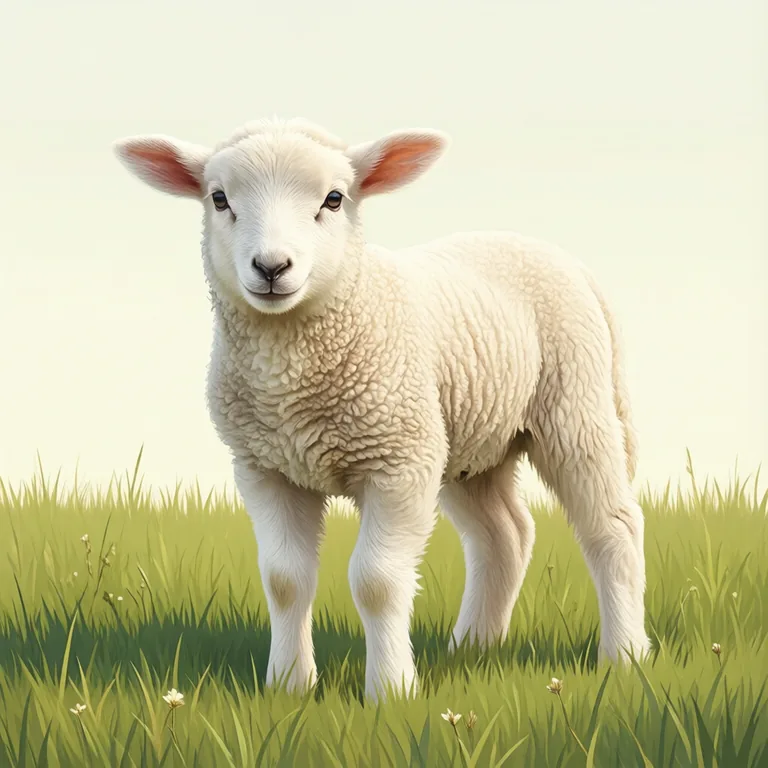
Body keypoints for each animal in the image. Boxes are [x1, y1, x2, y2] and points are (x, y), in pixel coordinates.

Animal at [113, 117, 652, 702]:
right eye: (219, 198)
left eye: (334, 198)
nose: (272, 267)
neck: (291, 382)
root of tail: (563, 258)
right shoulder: (267, 468)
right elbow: (284, 580)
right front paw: (288, 686)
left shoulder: (398, 464)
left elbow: (377, 581)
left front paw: (391, 690)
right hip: (466, 439)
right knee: (504, 535)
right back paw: (472, 647)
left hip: (573, 407)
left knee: (613, 527)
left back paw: (625, 656)